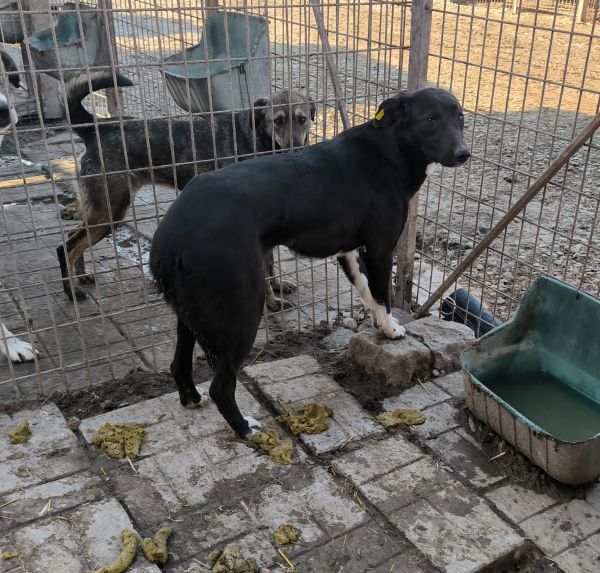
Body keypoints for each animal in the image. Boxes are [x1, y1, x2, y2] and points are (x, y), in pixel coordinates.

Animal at [57, 72, 315, 307]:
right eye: (277, 121)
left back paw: (82, 276)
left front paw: (277, 286)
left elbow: (270, 265)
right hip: (109, 212)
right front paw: (271, 302)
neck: (259, 139)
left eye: (302, 119)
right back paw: (71, 291)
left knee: (71, 238)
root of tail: (98, 128)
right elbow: (263, 270)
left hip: (101, 212)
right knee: (65, 247)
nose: (295, 151)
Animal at [149, 87, 470, 438]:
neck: (389, 150)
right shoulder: (381, 249)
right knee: (221, 385)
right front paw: (391, 329)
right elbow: (382, 295)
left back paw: (192, 399)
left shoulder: (350, 252)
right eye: (430, 120)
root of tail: (173, 231)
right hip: (243, 309)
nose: (464, 154)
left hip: (190, 311)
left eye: (460, 118)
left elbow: (368, 294)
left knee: (178, 365)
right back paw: (246, 428)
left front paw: (382, 328)